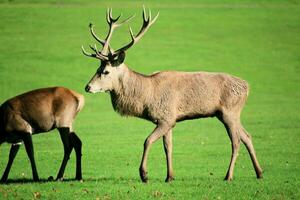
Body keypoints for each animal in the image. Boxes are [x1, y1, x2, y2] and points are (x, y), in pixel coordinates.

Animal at [82, 7, 262, 183]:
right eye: (97, 69)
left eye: (105, 71)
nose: (87, 87)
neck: (147, 96)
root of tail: (247, 87)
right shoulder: (167, 120)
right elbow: (168, 147)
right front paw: (169, 176)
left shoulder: (166, 118)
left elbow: (147, 141)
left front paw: (144, 174)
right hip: (227, 114)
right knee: (247, 136)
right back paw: (259, 172)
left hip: (229, 112)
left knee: (236, 141)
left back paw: (229, 176)